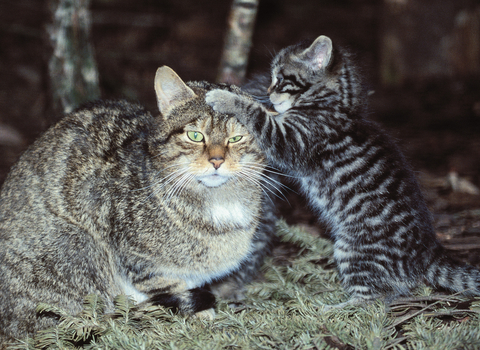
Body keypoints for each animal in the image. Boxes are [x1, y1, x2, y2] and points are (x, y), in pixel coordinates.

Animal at [0, 65, 278, 342]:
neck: (219, 202)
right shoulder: (138, 260)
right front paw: (199, 315)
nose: (217, 160)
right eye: (195, 135)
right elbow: (168, 285)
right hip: (80, 245)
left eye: (236, 138)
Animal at [205, 35, 480, 308]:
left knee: (373, 299)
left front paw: (227, 98)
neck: (333, 104)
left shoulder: (293, 140)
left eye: (280, 78)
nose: (268, 92)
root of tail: (427, 252)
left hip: (353, 249)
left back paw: (332, 308)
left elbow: (259, 117)